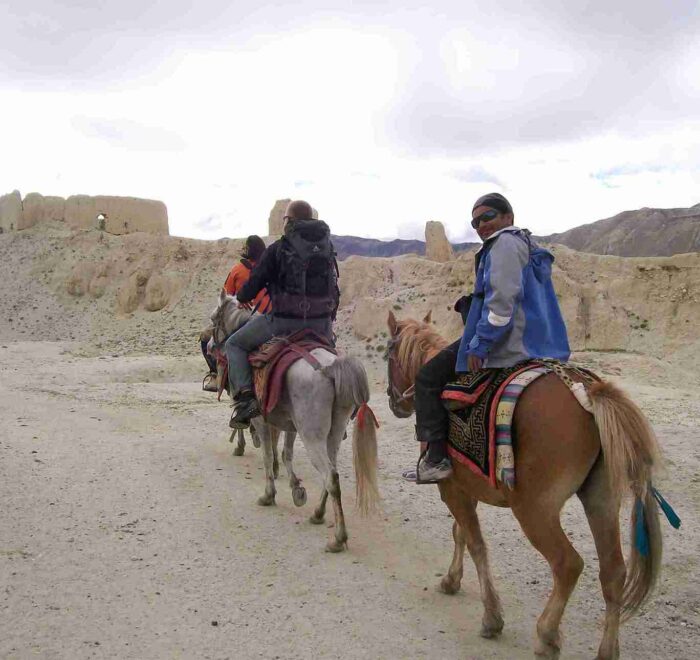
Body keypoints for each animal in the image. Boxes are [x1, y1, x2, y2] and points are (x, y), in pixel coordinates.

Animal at [211, 288, 380, 552]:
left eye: (213, 319)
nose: (209, 345)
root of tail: (331, 369)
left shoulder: (261, 421)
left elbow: (268, 455)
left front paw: (269, 494)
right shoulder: (288, 424)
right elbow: (285, 452)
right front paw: (296, 487)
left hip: (311, 436)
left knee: (330, 476)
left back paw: (338, 538)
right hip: (333, 433)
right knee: (331, 472)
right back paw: (318, 513)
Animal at [386, 312, 664, 660]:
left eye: (388, 354)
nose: (395, 402)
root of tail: (586, 391)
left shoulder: (451, 488)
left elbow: (476, 544)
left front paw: (492, 617)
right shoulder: (465, 489)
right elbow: (460, 533)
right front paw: (452, 580)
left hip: (535, 511)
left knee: (568, 564)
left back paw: (547, 636)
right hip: (601, 501)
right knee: (613, 572)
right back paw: (606, 651)